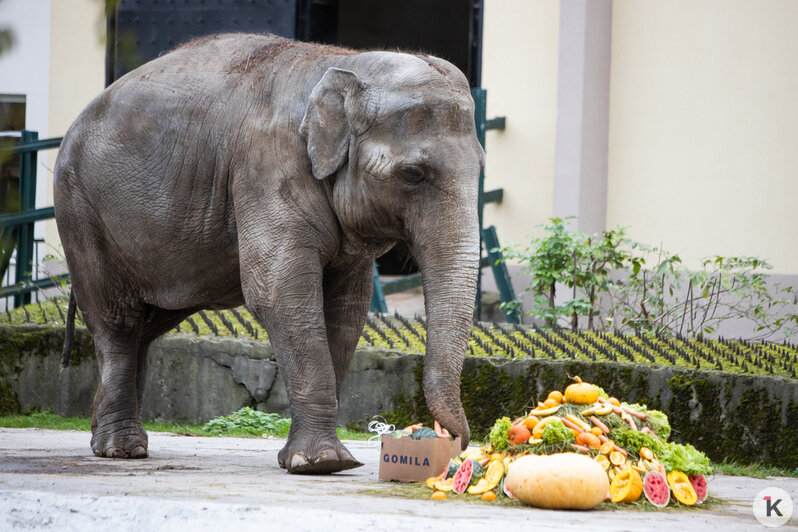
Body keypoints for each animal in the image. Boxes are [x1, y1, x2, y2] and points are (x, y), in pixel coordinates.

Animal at [54, 33, 488, 474]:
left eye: (482, 168)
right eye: (413, 175)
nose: (456, 446)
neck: (343, 63)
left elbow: (346, 309)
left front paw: (312, 460)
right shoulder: (266, 168)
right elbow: (281, 294)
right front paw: (322, 463)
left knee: (148, 322)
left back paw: (107, 436)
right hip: (80, 210)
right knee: (119, 321)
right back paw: (121, 449)